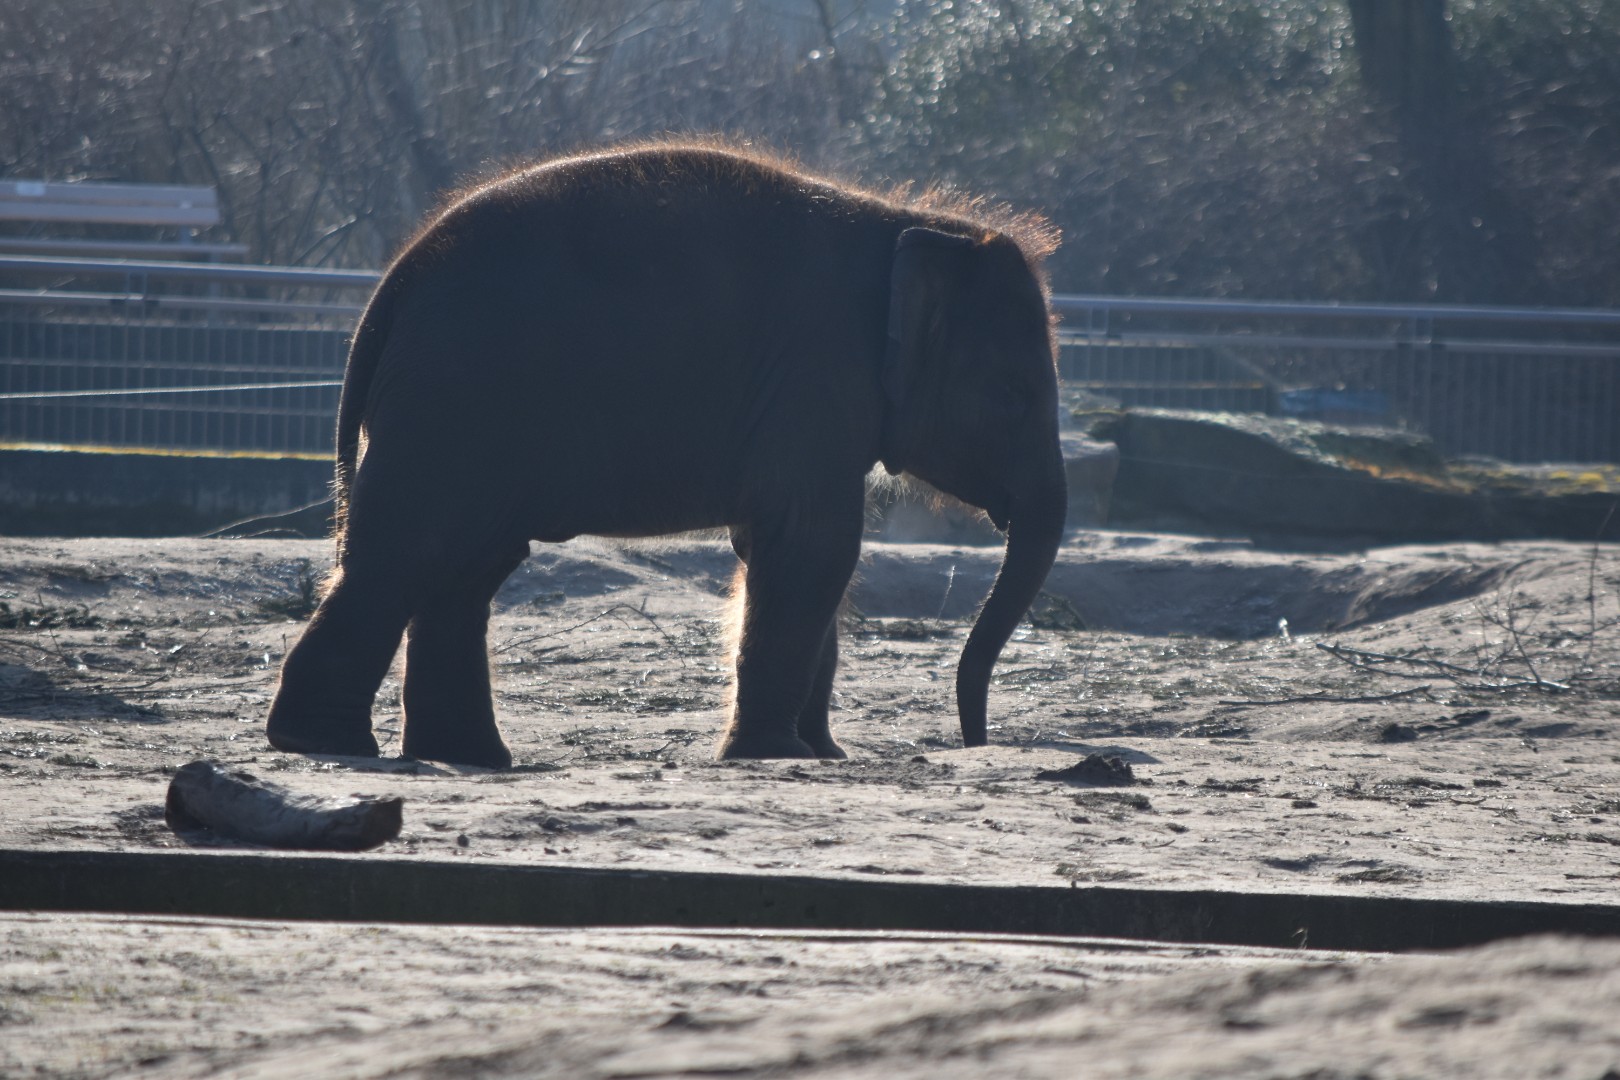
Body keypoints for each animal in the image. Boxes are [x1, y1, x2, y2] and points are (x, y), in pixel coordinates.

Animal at [265, 140, 1067, 769]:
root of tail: (391, 287)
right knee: (408, 553)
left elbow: (783, 550)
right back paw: (322, 744)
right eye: (1015, 395)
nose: (974, 742)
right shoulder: (816, 379)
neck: (909, 225)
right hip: (450, 401)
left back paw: (468, 757)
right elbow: (815, 546)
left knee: (465, 566)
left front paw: (822, 754)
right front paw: (781, 755)